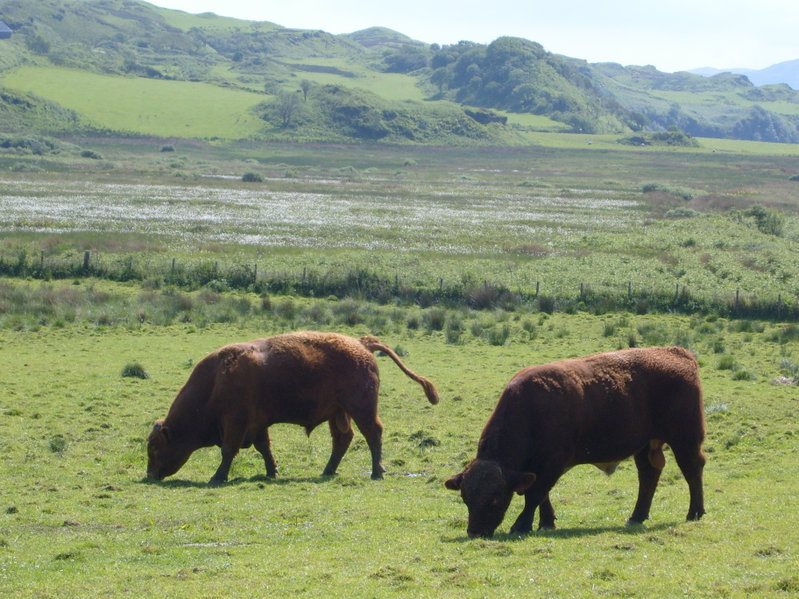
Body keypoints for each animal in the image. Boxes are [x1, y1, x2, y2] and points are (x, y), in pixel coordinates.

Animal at [147, 330, 440, 486]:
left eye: (155, 447)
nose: (150, 475)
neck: (215, 381)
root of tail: (361, 343)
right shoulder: (258, 425)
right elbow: (264, 448)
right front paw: (272, 472)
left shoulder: (235, 423)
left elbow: (229, 451)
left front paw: (217, 477)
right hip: (338, 413)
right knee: (343, 439)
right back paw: (327, 470)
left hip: (360, 409)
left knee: (373, 434)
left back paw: (377, 472)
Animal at [446, 346, 708, 540]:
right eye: (466, 498)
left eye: (495, 498)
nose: (475, 532)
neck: (529, 410)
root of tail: (677, 352)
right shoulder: (537, 468)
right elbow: (542, 495)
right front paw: (546, 522)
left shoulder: (552, 463)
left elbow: (535, 494)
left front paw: (521, 524)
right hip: (646, 446)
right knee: (648, 476)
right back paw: (637, 516)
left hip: (685, 439)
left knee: (692, 469)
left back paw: (695, 512)